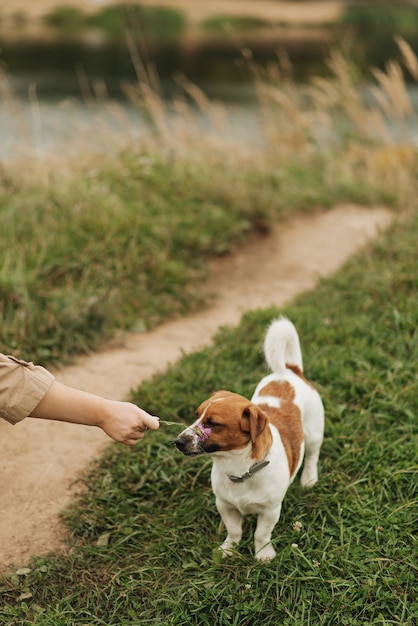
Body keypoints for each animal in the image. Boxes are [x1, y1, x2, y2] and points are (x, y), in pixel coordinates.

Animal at [173, 316, 324, 560]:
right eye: (197, 415)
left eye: (212, 424)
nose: (177, 442)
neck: (237, 468)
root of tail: (290, 372)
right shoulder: (225, 505)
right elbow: (234, 530)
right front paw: (228, 549)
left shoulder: (270, 511)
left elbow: (261, 534)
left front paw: (263, 554)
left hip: (314, 435)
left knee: (311, 456)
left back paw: (309, 478)